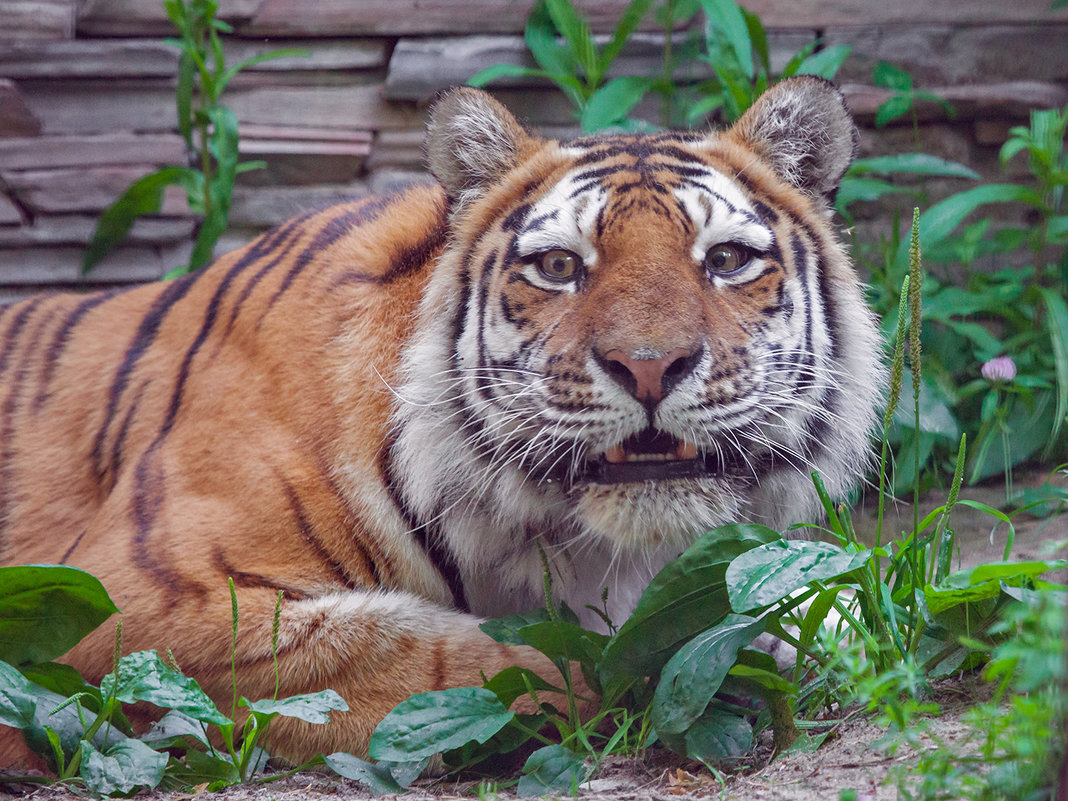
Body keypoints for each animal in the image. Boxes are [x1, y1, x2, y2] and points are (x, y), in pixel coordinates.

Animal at [0, 78, 880, 768]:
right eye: (558, 267)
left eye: (726, 260)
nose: (650, 365)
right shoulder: (143, 605)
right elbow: (464, 656)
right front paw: (697, 665)